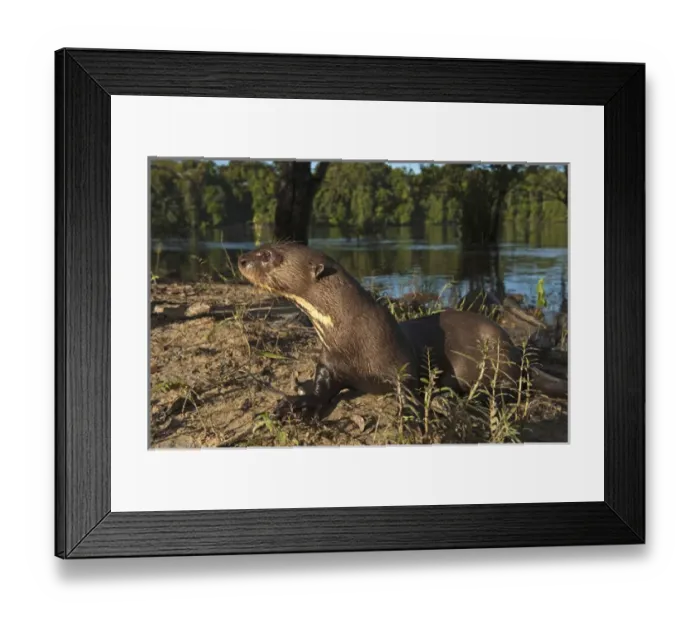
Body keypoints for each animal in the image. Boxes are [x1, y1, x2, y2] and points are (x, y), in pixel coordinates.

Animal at [237, 242, 567, 418]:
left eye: (269, 256)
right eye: (263, 248)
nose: (242, 258)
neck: (351, 335)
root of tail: (515, 352)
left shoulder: (400, 361)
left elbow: (407, 387)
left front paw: (410, 414)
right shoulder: (329, 363)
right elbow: (321, 387)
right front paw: (298, 403)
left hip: (493, 356)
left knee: (510, 390)